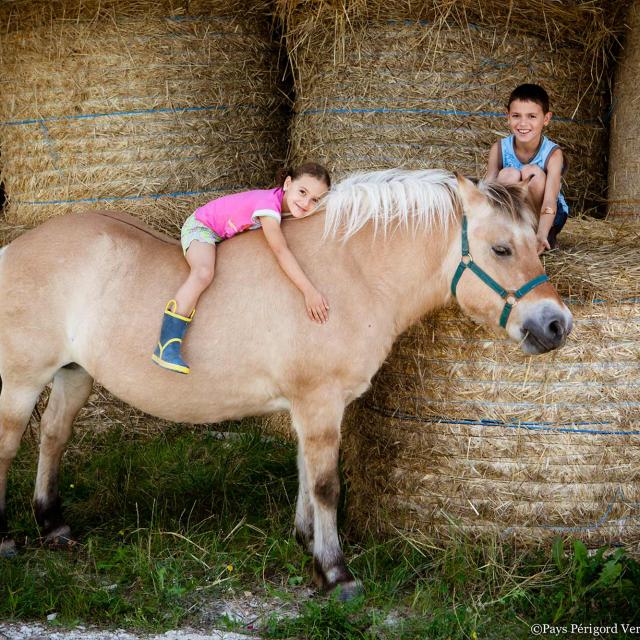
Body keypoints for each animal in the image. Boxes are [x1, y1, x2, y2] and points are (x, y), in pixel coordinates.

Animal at [0, 170, 572, 600]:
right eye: (501, 249)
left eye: (538, 246)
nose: (556, 324)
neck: (348, 275)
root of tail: (14, 249)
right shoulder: (320, 402)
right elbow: (326, 484)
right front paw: (335, 572)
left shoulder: (308, 405)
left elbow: (304, 472)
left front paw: (306, 542)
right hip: (21, 383)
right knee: (9, 447)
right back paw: (8, 539)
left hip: (75, 374)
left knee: (54, 436)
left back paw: (52, 525)